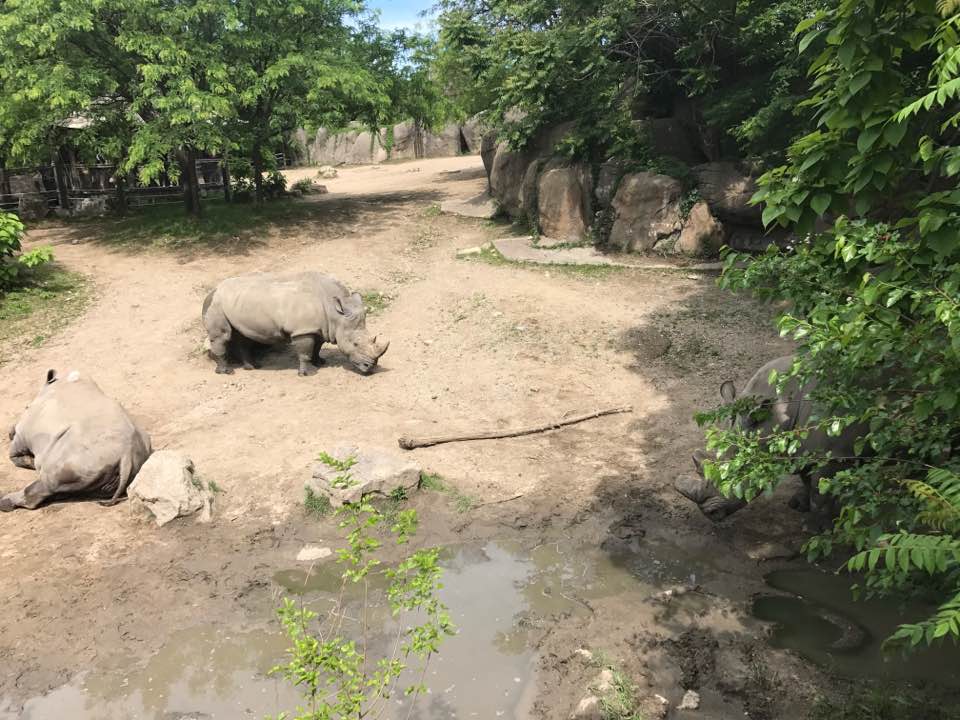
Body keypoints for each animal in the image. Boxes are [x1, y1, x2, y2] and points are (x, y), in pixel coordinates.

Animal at [2, 370, 152, 511]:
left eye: (26, 407)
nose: (9, 432)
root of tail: (126, 455)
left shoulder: (23, 432)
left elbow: (13, 454)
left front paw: (28, 461)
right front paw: (31, 462)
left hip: (82, 458)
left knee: (48, 481)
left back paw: (4, 503)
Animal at [202, 271, 389, 376]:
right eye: (355, 343)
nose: (370, 368)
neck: (334, 313)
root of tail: (211, 291)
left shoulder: (318, 328)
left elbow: (317, 347)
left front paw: (320, 362)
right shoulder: (303, 330)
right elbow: (305, 351)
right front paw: (308, 373)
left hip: (237, 304)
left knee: (242, 336)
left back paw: (252, 367)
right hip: (217, 304)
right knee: (222, 336)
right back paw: (227, 372)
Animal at [676, 355, 864, 521]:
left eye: (739, 471)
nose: (709, 514)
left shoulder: (835, 456)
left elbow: (821, 496)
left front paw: (819, 528)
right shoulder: (804, 448)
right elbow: (806, 480)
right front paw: (799, 506)